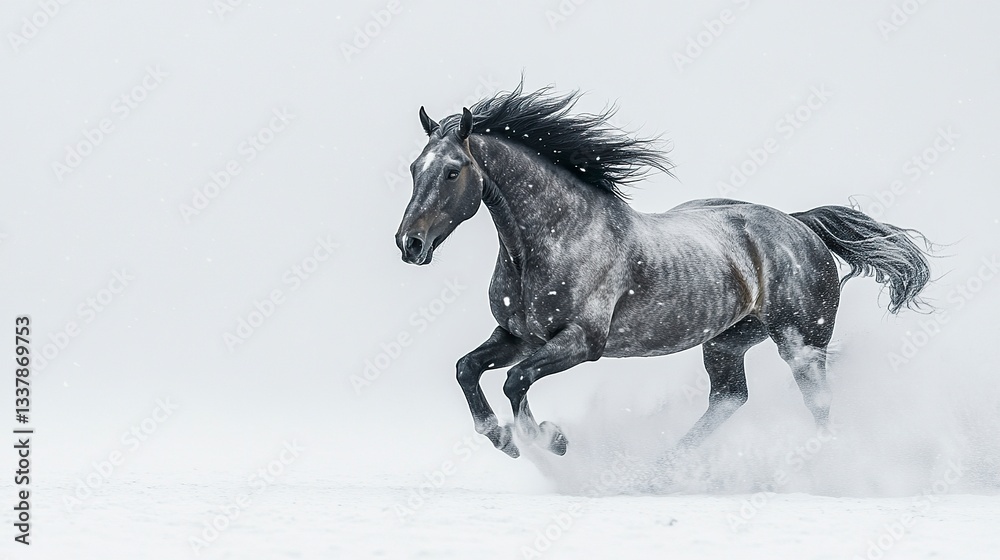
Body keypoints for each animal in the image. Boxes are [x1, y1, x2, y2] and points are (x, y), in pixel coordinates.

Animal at [394, 84, 931, 459]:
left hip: (800, 343)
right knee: (729, 398)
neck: (555, 239)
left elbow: (514, 381)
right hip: (726, 343)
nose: (409, 243)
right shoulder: (517, 336)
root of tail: (800, 226)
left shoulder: (580, 343)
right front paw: (503, 440)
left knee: (816, 404)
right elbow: (468, 369)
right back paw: (664, 469)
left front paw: (549, 440)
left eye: (452, 171)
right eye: (414, 168)